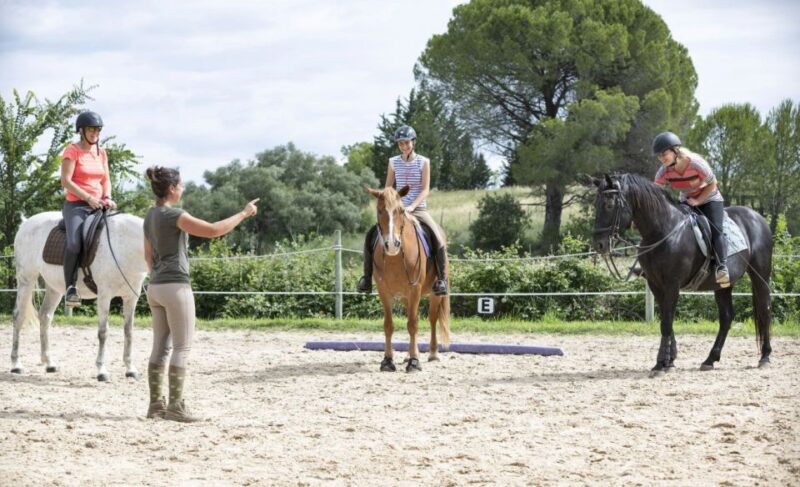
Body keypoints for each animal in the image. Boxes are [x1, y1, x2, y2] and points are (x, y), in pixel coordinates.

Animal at [11, 210, 148, 381]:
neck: (124, 246)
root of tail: (26, 223)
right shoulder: (104, 295)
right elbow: (103, 332)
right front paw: (101, 371)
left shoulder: (130, 297)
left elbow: (128, 331)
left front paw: (130, 369)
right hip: (26, 281)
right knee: (19, 317)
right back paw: (16, 365)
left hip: (54, 288)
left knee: (45, 317)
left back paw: (49, 363)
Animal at [366, 186, 451, 372]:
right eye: (379, 210)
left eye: (400, 211)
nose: (392, 245)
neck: (395, 258)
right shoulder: (384, 292)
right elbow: (389, 325)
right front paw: (388, 360)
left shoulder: (415, 288)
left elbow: (413, 324)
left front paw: (414, 362)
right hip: (406, 297)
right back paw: (409, 354)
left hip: (434, 293)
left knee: (432, 318)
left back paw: (433, 353)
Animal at [591, 173, 773, 376]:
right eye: (595, 204)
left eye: (609, 205)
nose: (599, 244)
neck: (663, 231)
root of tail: (758, 217)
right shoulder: (655, 284)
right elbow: (667, 321)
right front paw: (669, 360)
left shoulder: (673, 284)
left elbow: (666, 322)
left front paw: (660, 364)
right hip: (723, 285)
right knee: (726, 317)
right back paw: (710, 359)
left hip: (761, 276)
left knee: (765, 310)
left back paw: (765, 357)